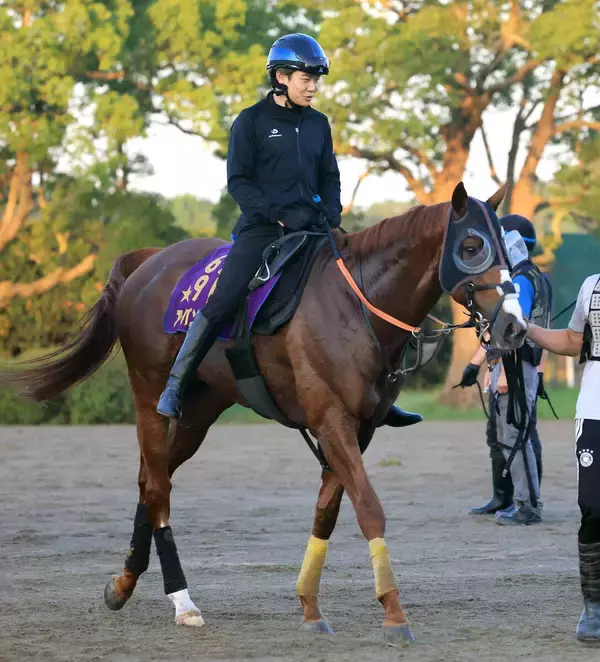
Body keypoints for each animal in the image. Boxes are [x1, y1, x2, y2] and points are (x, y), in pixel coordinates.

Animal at [1, 182, 526, 645]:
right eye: (472, 246)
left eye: (505, 247)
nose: (514, 327)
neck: (356, 305)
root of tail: (147, 262)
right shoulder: (331, 420)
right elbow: (369, 509)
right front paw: (394, 615)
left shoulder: (358, 428)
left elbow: (327, 512)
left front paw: (311, 608)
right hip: (151, 397)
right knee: (157, 487)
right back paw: (181, 600)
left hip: (200, 410)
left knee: (151, 479)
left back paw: (124, 583)